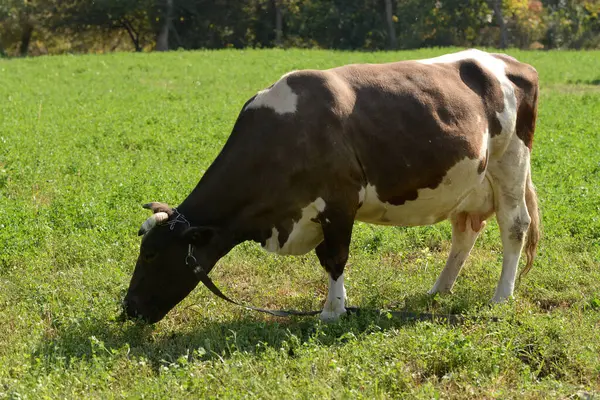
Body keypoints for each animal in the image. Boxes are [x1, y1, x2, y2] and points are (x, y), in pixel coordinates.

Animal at [122, 48, 540, 324]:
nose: (127, 309)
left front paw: (332, 310)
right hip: (469, 180)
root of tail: (508, 61)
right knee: (465, 231)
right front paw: (337, 305)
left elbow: (336, 257)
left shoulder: (339, 201)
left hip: (510, 162)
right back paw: (440, 289)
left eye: (153, 254)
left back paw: (501, 296)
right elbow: (327, 258)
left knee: (514, 226)